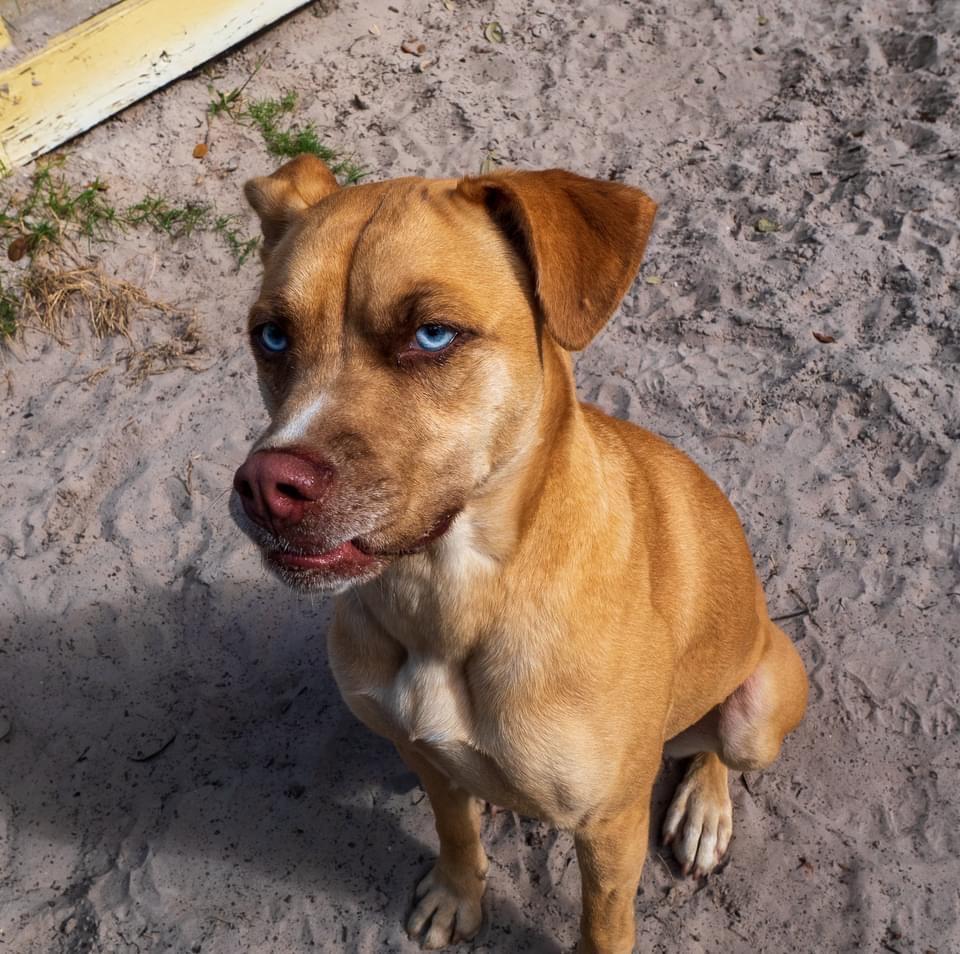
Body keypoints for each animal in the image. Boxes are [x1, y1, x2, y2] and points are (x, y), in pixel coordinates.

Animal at [232, 152, 808, 948]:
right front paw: (458, 892)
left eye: (432, 335)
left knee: (717, 745)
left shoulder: (608, 826)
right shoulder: (420, 753)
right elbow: (453, 829)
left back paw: (704, 808)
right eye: (272, 338)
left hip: (757, 706)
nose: (265, 487)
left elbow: (604, 926)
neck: (445, 598)